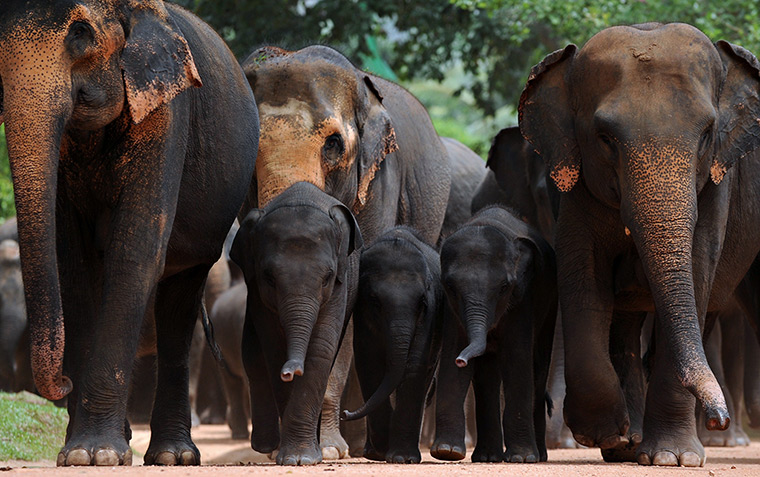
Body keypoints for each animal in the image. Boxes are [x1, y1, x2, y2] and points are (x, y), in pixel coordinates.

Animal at [0, 0, 258, 466]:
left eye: (81, 34)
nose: (62, 384)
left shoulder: (166, 111)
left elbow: (136, 250)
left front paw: (96, 454)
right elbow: (73, 262)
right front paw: (80, 453)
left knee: (179, 308)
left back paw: (174, 456)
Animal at [229, 181, 363, 466]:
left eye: (327, 277)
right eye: (269, 278)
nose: (290, 371)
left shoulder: (340, 285)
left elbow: (321, 348)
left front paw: (302, 459)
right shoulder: (257, 291)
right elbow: (273, 349)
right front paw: (292, 457)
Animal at [342, 226, 443, 463]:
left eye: (421, 302)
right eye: (375, 302)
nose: (344, 413)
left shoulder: (429, 315)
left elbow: (414, 366)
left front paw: (402, 458)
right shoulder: (362, 316)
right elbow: (369, 364)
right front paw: (381, 451)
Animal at [433, 205, 557, 463]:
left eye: (504, 287)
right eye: (450, 286)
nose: (462, 360)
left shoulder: (523, 297)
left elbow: (516, 357)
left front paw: (521, 459)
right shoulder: (452, 308)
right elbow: (452, 350)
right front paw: (447, 452)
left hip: (550, 305)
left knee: (538, 367)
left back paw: (538, 456)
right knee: (487, 376)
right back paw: (487, 457)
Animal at [519, 22, 760, 467]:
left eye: (707, 134)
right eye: (605, 138)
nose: (718, 418)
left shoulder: (717, 185)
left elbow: (696, 274)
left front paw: (672, 458)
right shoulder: (577, 188)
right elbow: (584, 279)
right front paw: (604, 432)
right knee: (625, 322)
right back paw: (625, 445)